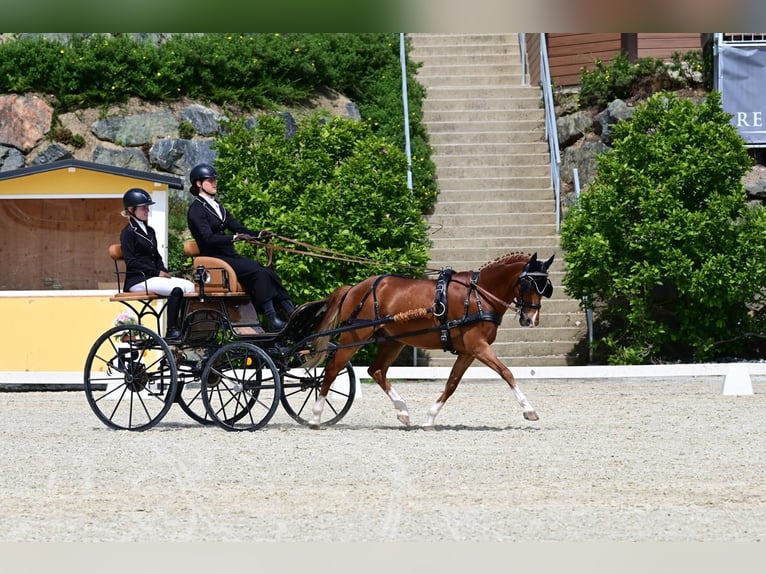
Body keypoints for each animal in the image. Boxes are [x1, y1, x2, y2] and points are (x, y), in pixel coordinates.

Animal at [308, 250, 556, 430]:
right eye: (528, 284)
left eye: (545, 288)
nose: (531, 319)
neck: (478, 295)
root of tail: (354, 288)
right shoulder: (478, 346)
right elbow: (506, 373)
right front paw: (529, 410)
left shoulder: (468, 351)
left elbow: (452, 383)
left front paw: (429, 418)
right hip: (355, 336)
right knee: (332, 370)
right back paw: (316, 417)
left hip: (393, 341)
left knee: (376, 371)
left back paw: (403, 412)